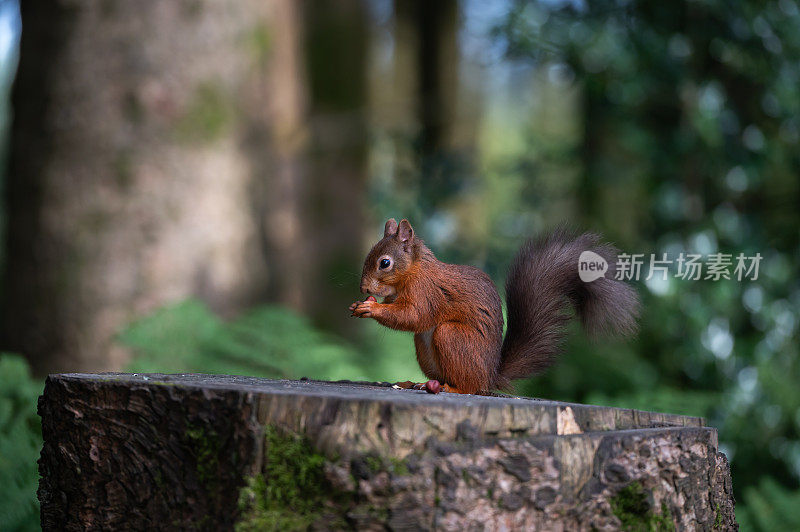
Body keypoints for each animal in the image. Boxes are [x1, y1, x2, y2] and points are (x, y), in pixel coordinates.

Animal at [346, 217, 640, 394]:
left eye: (385, 263)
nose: (364, 289)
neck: (414, 270)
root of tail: (490, 376)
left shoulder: (427, 291)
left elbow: (414, 316)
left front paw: (371, 308)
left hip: (452, 338)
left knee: (469, 386)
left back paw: (452, 389)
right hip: (425, 348)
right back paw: (416, 383)